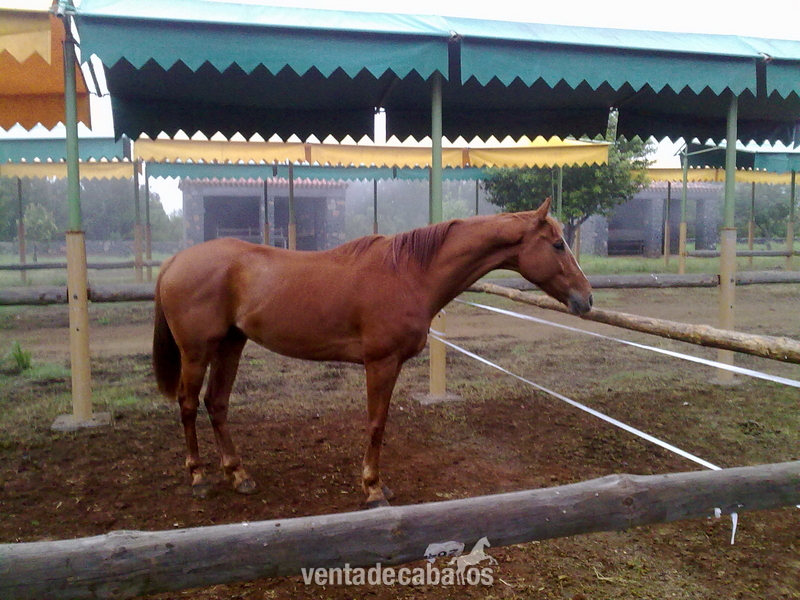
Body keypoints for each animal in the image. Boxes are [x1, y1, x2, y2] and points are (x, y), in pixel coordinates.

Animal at [152, 197, 592, 508]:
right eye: (557, 244)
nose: (586, 299)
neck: (408, 273)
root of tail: (174, 261)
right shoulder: (380, 363)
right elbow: (377, 424)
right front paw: (374, 489)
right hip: (197, 351)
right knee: (188, 404)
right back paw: (199, 478)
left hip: (231, 344)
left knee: (217, 403)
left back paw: (238, 475)